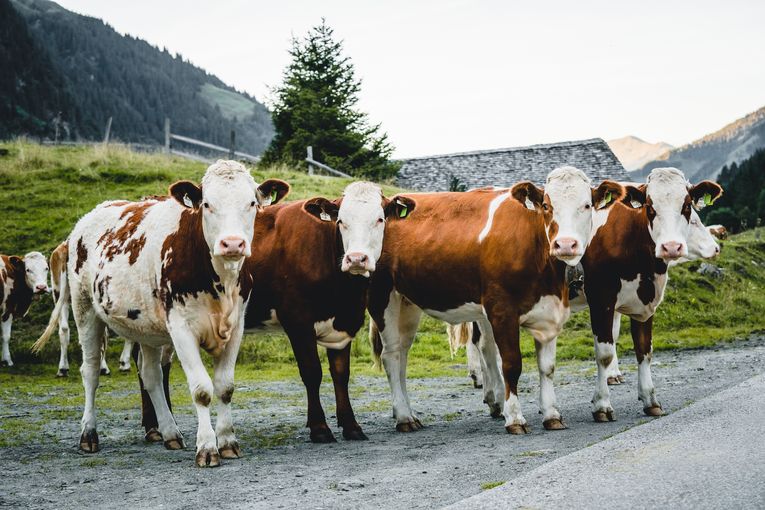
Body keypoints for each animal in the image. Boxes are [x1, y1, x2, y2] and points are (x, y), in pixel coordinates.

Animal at [134, 182, 414, 442]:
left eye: (379, 219)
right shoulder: (298, 320)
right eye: (341, 221)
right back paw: (155, 426)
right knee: (148, 369)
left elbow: (341, 374)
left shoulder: (344, 323)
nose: (356, 259)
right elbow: (312, 372)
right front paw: (319, 428)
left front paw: (351, 425)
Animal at [368, 167, 624, 434]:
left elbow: (547, 367)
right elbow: (512, 364)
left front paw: (552, 414)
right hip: (381, 297)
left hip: (407, 303)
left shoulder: (549, 311)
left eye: (587, 205)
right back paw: (404, 417)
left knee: (402, 354)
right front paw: (514, 418)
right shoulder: (502, 310)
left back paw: (408, 413)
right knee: (390, 356)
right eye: (546, 206)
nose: (565, 244)